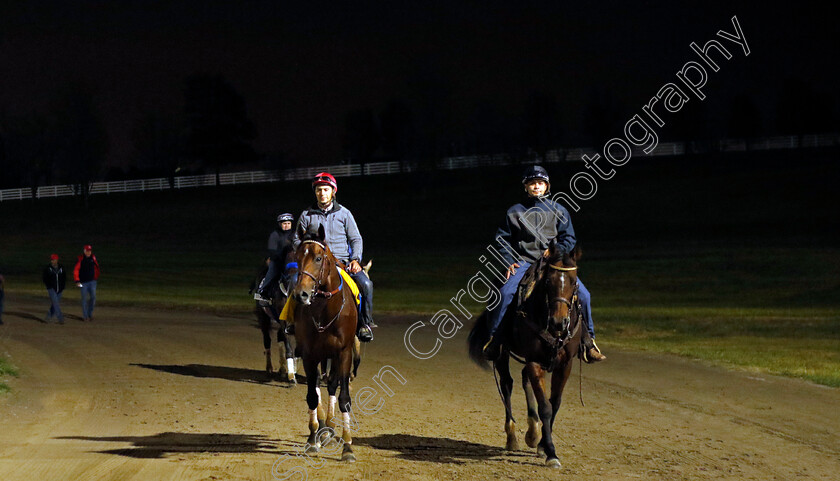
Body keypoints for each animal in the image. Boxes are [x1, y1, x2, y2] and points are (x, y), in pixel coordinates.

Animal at [466, 242, 584, 466]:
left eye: (574, 282)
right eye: (548, 281)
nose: (559, 322)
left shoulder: (565, 364)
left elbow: (554, 403)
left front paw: (542, 445)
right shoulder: (534, 360)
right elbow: (545, 406)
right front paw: (551, 453)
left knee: (524, 380)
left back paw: (532, 431)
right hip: (501, 354)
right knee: (507, 384)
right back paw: (512, 436)